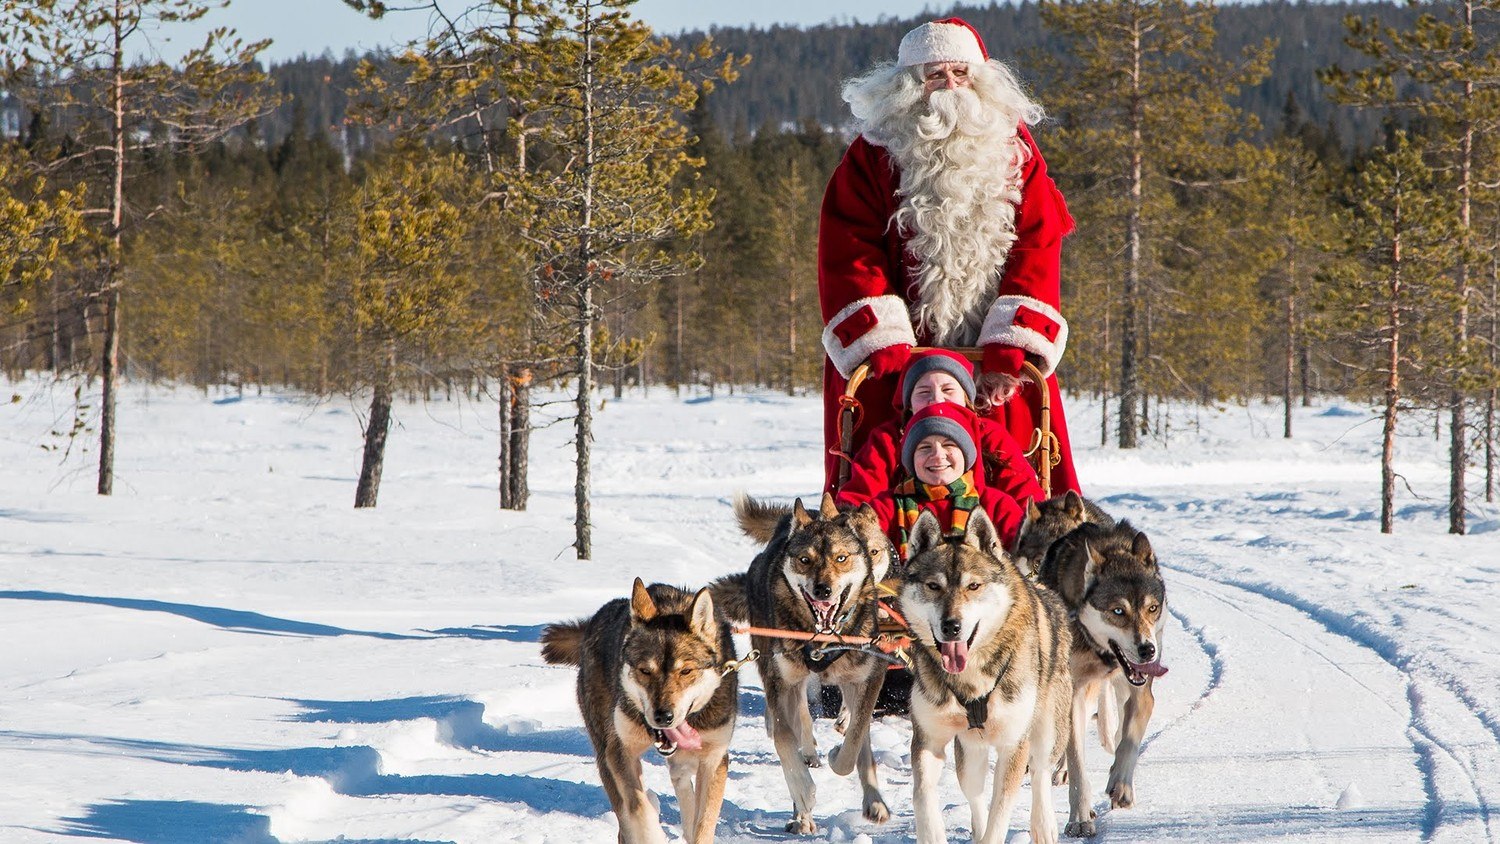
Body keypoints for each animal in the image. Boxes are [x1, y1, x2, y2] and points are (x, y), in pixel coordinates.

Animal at [546, 581, 744, 844]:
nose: (664, 716)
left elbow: (704, 824)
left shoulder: (713, 758)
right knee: (625, 816)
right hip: (605, 754)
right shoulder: (621, 751)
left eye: (686, 671)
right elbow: (639, 808)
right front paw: (654, 833)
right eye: (645, 671)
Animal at [894, 509, 1074, 844]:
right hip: (970, 748)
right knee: (974, 792)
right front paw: (932, 833)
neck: (971, 678)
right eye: (933, 586)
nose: (951, 626)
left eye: (974, 586)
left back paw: (1044, 826)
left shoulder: (1013, 744)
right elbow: (922, 795)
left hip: (1047, 729)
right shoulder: (928, 739)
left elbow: (999, 814)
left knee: (1040, 772)